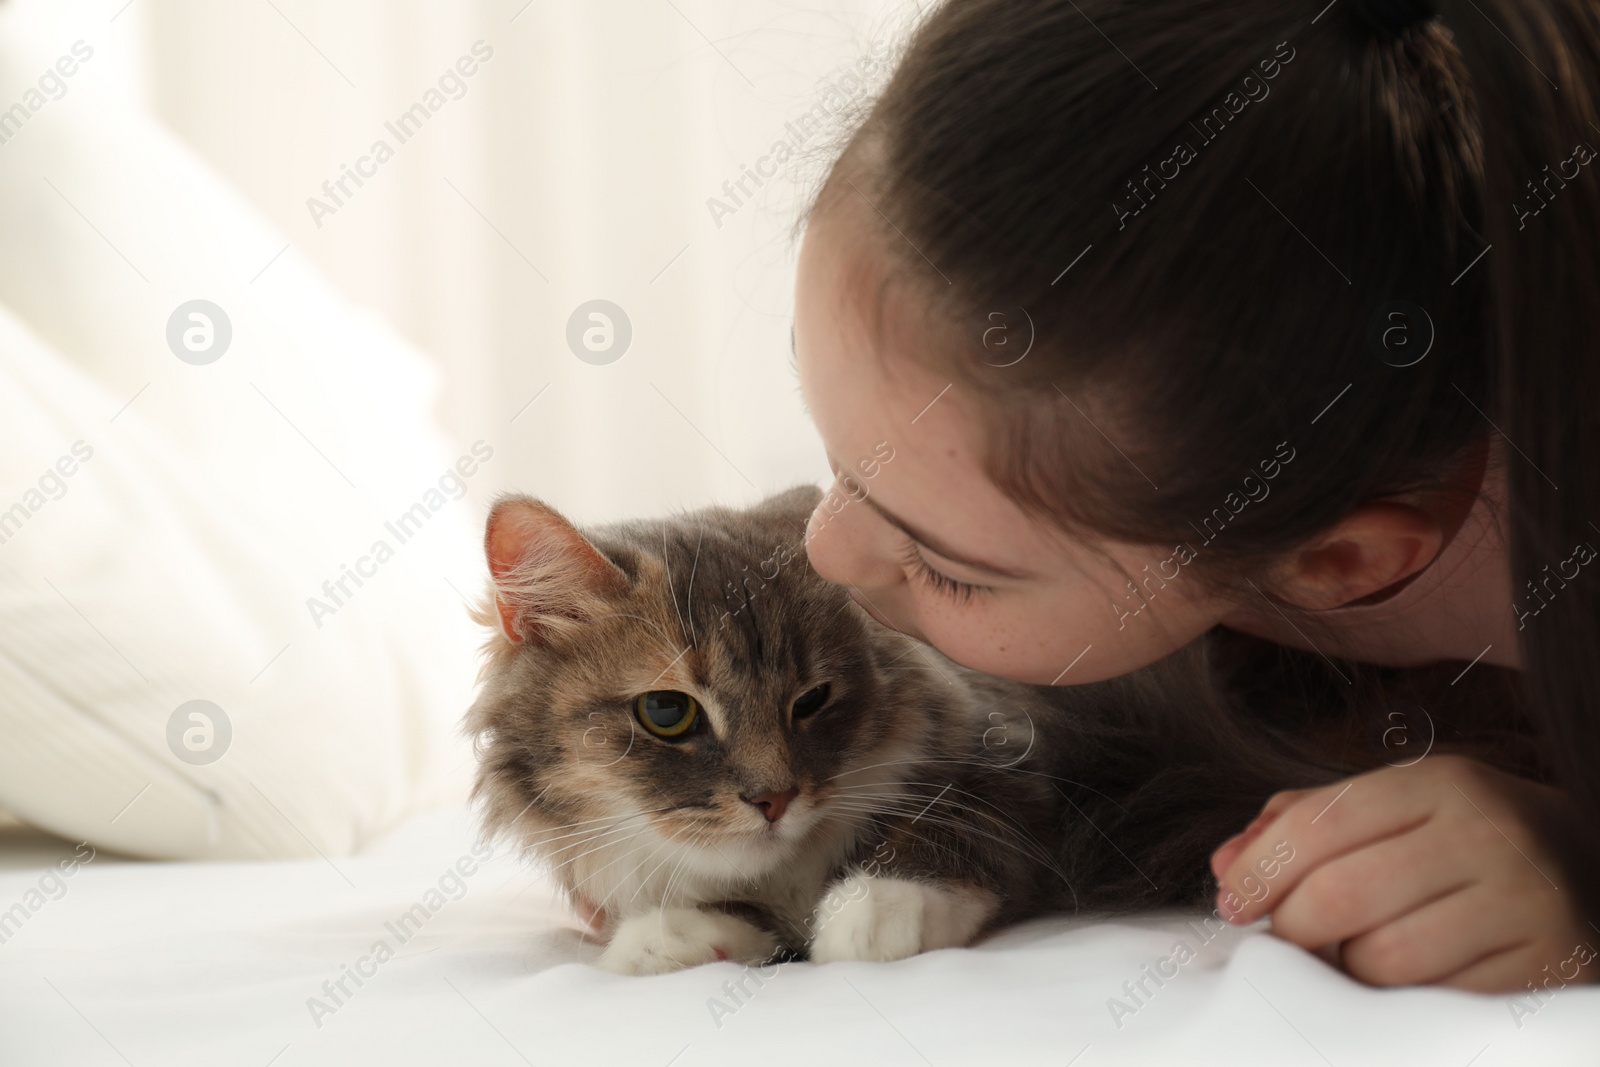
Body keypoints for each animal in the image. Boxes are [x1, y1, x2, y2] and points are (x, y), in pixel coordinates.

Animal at [467, 483, 1337, 979]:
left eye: (812, 699)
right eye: (666, 713)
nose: (775, 798)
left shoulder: (1016, 761)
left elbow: (939, 836)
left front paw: (868, 913)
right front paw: (673, 938)